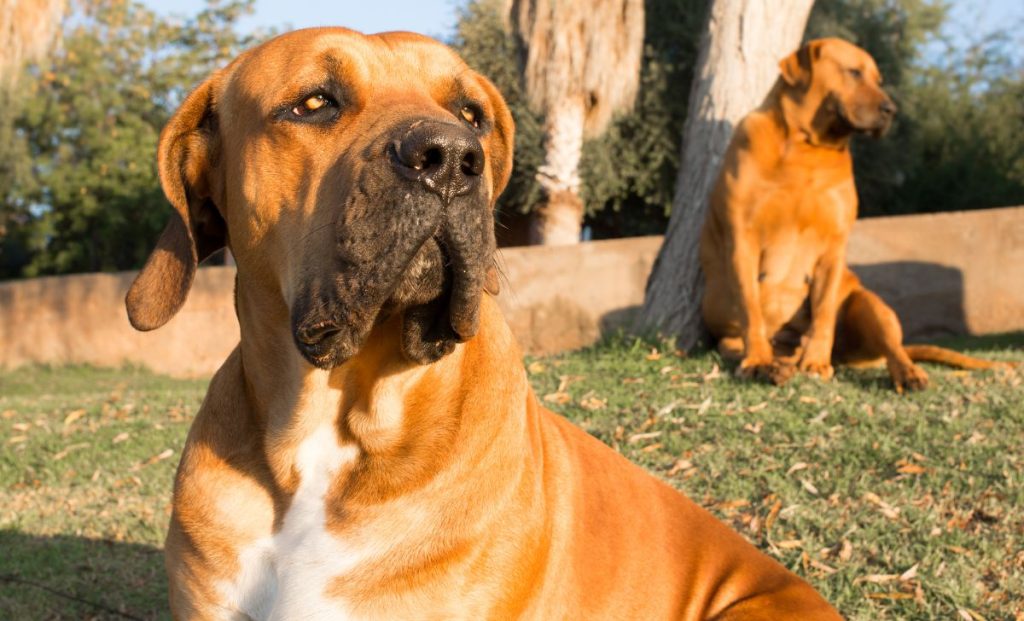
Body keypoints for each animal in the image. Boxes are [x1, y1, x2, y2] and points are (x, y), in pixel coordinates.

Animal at [700, 37, 1003, 393]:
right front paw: (758, 361)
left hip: (871, 307)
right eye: (854, 72)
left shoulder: (833, 246)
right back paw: (777, 364)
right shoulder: (742, 239)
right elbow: (751, 309)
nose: (890, 110)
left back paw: (905, 372)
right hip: (726, 332)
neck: (805, 148)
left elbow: (824, 312)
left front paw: (816, 362)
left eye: (878, 80)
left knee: (894, 347)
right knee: (744, 343)